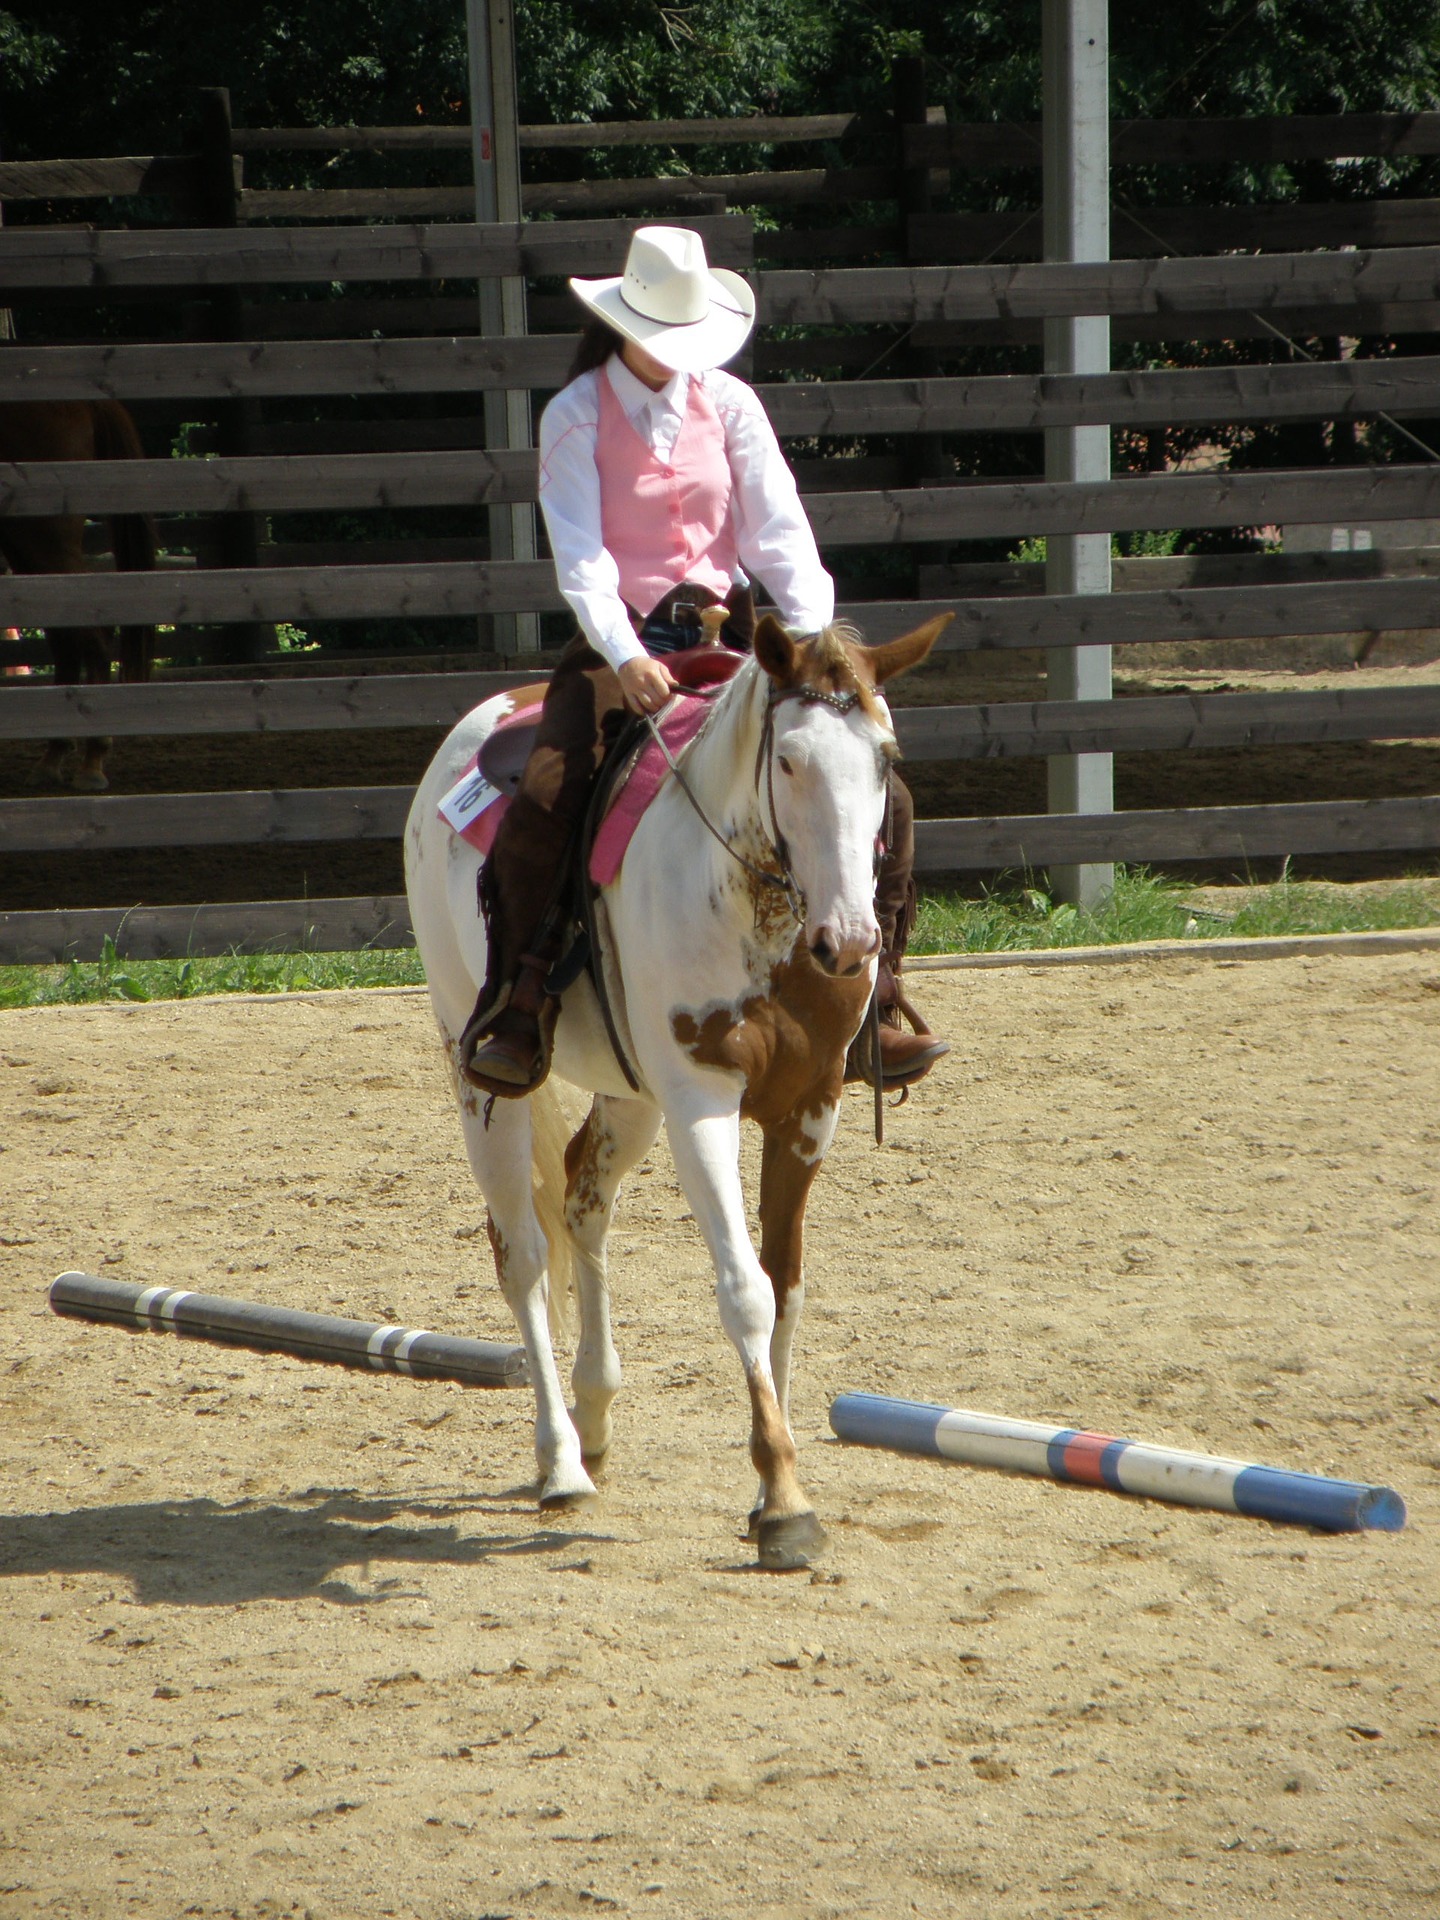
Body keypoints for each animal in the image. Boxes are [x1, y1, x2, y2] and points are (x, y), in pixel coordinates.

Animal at [407, 606, 952, 1566]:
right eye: (789, 760)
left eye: (883, 758)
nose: (852, 941)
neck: (761, 913)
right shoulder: (703, 1103)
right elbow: (745, 1290)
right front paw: (783, 1503)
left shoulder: (811, 1106)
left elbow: (786, 1285)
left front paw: (777, 1481)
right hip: (480, 1079)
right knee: (524, 1254)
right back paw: (560, 1461)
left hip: (632, 1094)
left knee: (583, 1197)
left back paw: (594, 1416)